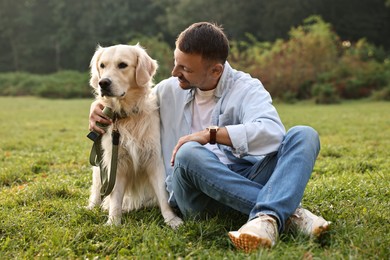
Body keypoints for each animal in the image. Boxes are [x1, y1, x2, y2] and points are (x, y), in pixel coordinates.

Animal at [87, 43, 183, 229]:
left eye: (122, 65)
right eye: (102, 65)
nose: (103, 83)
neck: (126, 116)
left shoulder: (155, 159)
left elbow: (163, 194)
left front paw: (172, 220)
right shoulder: (115, 162)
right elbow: (115, 198)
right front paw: (113, 222)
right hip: (99, 166)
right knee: (96, 190)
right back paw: (91, 207)